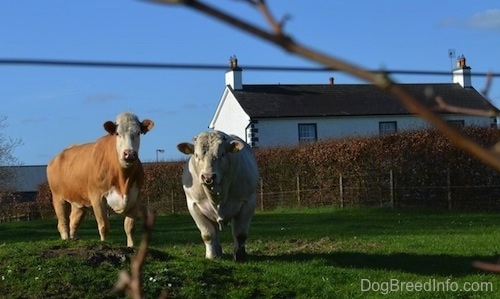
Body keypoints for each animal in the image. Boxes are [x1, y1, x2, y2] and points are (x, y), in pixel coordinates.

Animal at [46, 112, 154, 248]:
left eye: (138, 133)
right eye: (117, 133)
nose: (129, 153)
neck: (123, 180)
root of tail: (55, 158)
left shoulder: (136, 197)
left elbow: (129, 227)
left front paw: (131, 246)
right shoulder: (97, 197)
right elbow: (104, 226)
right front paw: (104, 244)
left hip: (78, 201)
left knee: (73, 222)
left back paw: (73, 240)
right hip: (58, 197)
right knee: (62, 223)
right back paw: (66, 240)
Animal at [178, 131, 260, 262]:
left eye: (222, 154)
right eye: (196, 155)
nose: (208, 177)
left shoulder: (248, 202)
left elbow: (240, 234)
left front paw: (240, 256)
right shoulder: (193, 205)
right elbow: (207, 234)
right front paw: (212, 255)